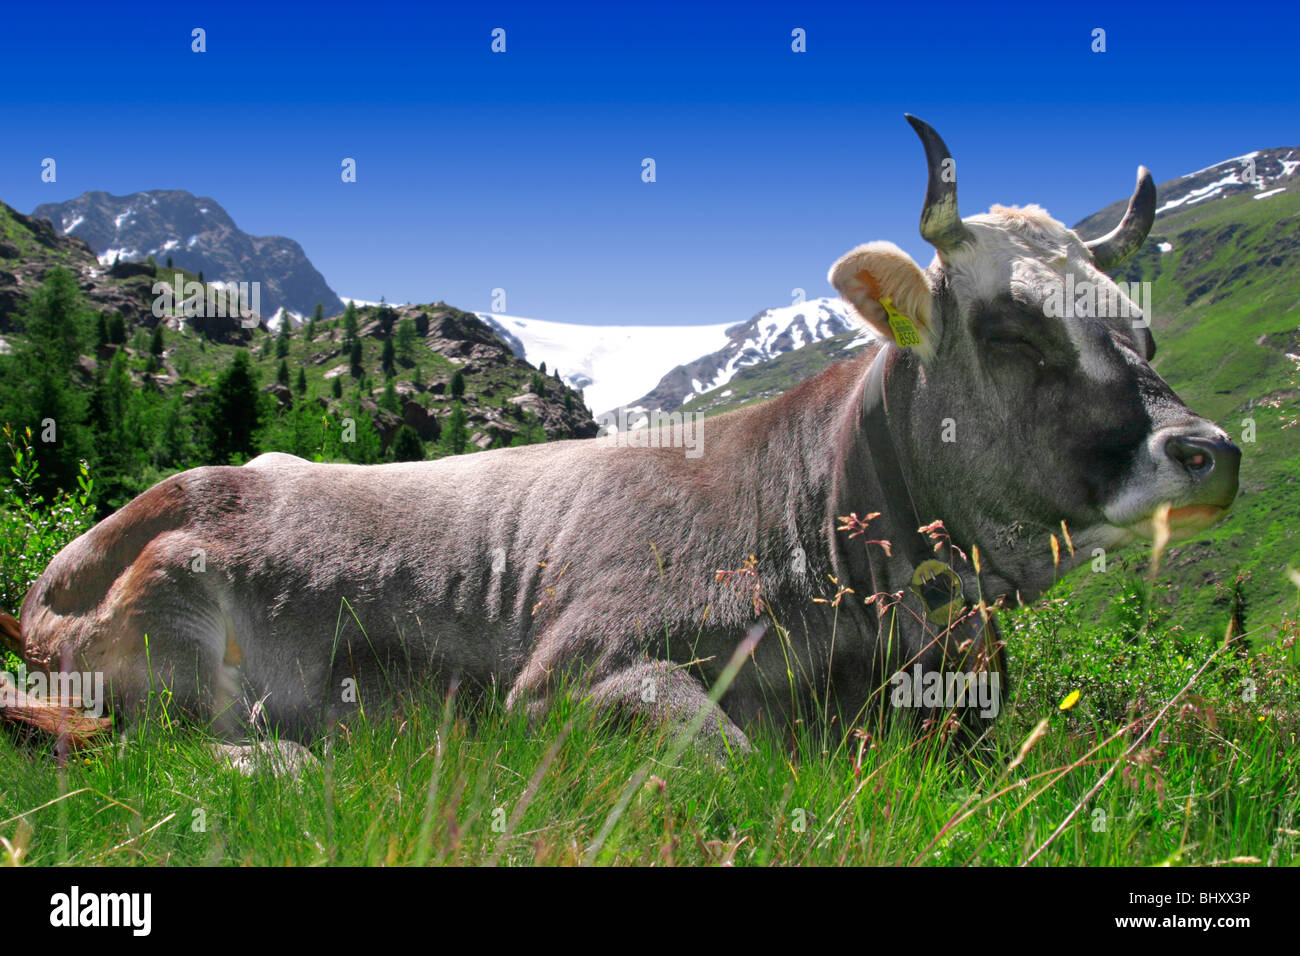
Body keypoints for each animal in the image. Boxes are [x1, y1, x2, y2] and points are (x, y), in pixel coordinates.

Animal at [0, 117, 1240, 762]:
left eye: (1139, 329)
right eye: (1012, 328)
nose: (1210, 450)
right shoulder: (561, 674)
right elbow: (728, 755)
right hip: (170, 639)